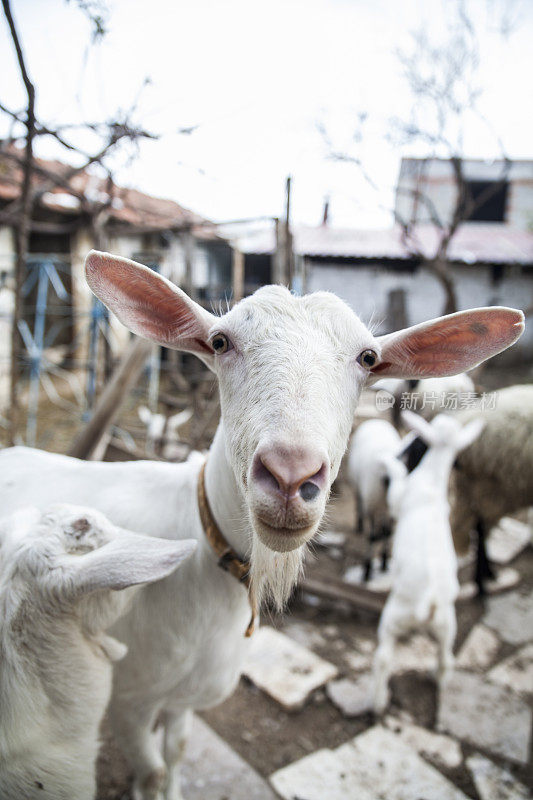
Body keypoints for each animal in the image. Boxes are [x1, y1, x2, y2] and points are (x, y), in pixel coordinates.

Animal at [372, 412, 484, 712]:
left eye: (418, 441)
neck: (433, 480)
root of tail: (429, 602)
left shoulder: (398, 498)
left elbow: (396, 484)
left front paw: (387, 461)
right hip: (448, 626)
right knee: (446, 656)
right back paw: (438, 677)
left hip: (393, 619)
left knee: (384, 658)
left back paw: (377, 701)